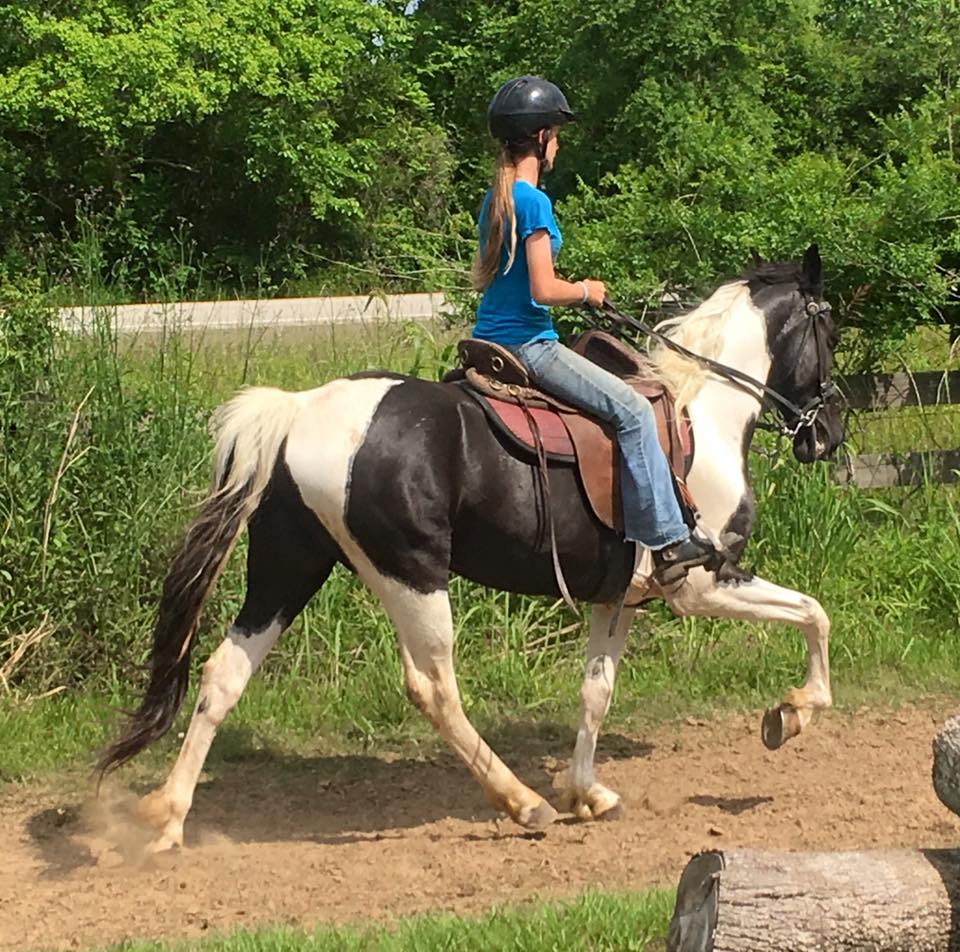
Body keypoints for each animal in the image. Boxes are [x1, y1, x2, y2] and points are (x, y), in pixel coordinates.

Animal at [101, 245, 844, 848]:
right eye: (830, 328)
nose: (829, 432)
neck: (702, 413)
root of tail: (301, 409)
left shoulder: (619, 598)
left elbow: (595, 691)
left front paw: (588, 793)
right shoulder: (702, 580)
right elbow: (814, 612)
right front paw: (793, 713)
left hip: (288, 568)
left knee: (223, 673)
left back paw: (167, 816)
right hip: (412, 576)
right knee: (433, 687)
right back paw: (522, 803)